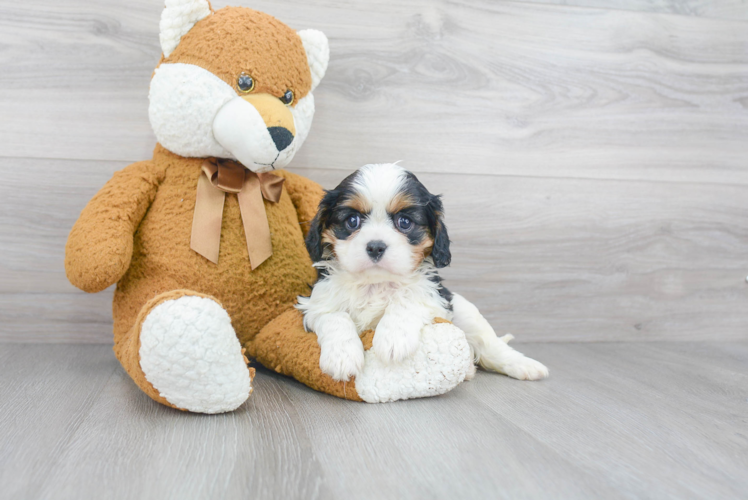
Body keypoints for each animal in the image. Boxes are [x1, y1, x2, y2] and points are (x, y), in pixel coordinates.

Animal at [298, 164, 548, 382]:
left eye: (404, 222)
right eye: (352, 221)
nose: (376, 246)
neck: (376, 284)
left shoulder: (435, 297)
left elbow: (407, 299)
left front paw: (393, 338)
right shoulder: (316, 304)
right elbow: (335, 316)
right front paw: (342, 357)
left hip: (465, 311)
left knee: (491, 345)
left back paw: (524, 365)